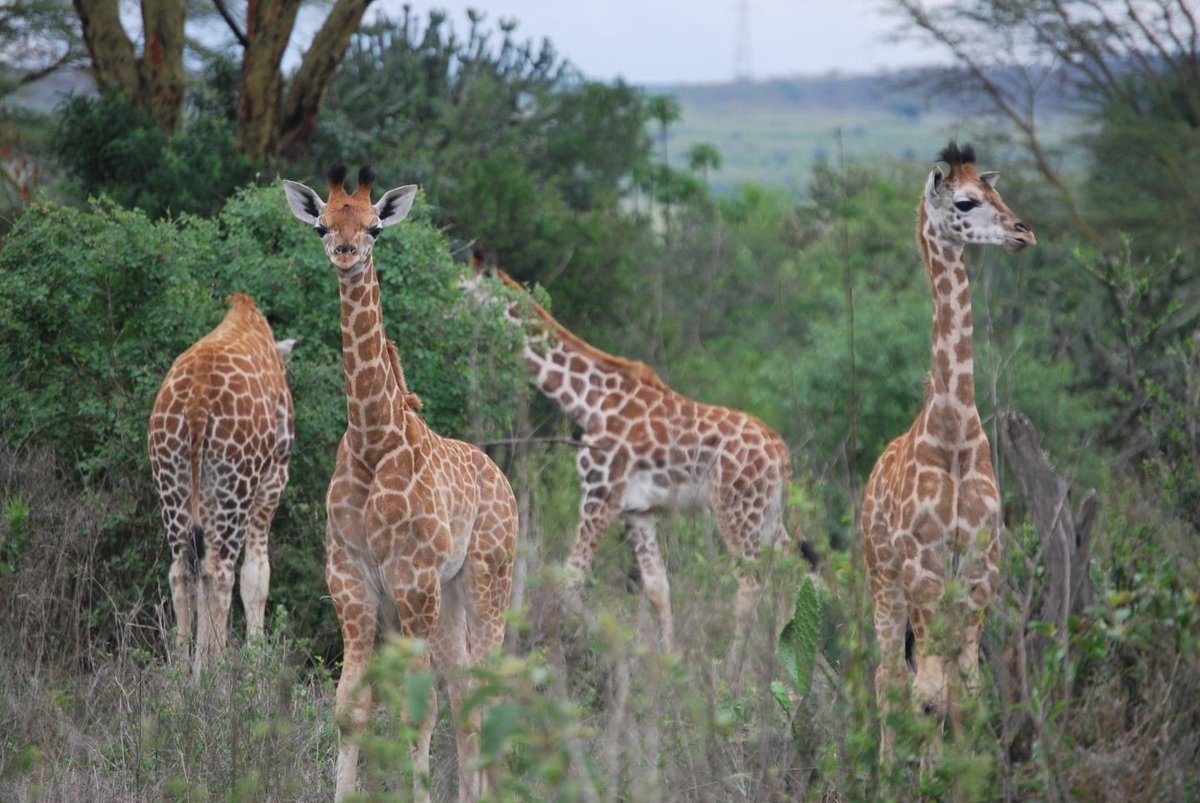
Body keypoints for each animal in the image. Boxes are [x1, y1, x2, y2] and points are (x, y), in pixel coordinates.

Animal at [148, 293, 295, 678]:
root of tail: (198, 400)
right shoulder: (271, 483)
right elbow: (257, 575)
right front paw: (258, 669)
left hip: (172, 479)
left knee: (183, 571)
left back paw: (180, 679)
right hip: (237, 485)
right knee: (221, 572)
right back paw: (212, 675)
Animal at [282, 166, 518, 803]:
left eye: (375, 228)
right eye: (321, 224)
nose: (345, 253)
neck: (373, 442)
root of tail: (504, 480)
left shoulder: (411, 580)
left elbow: (418, 712)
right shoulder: (352, 581)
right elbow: (350, 708)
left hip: (488, 580)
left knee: (487, 689)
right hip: (450, 595)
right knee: (465, 693)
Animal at [462, 250, 818, 653]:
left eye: (464, 288)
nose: (447, 304)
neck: (587, 401)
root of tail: (780, 449)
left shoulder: (600, 492)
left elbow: (570, 582)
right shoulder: (636, 509)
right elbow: (657, 588)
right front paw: (668, 658)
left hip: (736, 509)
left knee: (751, 579)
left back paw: (736, 663)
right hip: (768, 511)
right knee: (796, 568)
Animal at [860, 142, 1036, 757]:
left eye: (998, 192)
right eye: (964, 202)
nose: (1024, 233)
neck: (954, 434)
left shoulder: (980, 572)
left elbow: (966, 696)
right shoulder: (923, 571)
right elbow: (929, 697)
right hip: (883, 580)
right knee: (889, 678)